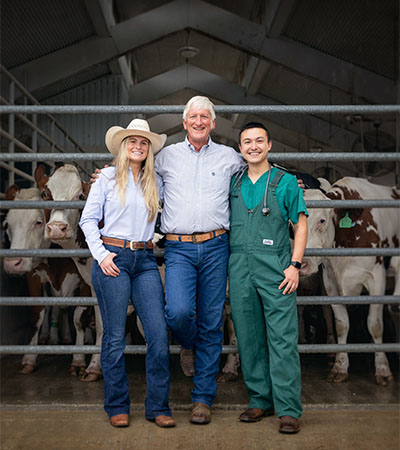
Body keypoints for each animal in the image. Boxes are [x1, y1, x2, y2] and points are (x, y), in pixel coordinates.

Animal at [2, 185, 90, 374]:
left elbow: (79, 317)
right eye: (7, 225)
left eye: (38, 222)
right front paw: (29, 357)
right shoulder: (33, 276)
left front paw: (78, 359)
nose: (12, 263)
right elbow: (38, 314)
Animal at [302, 178, 398, 384]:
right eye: (291, 223)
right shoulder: (330, 283)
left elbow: (375, 324)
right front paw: (340, 366)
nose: (302, 263)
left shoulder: (376, 279)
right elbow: (341, 324)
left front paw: (382, 369)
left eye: (322, 220)